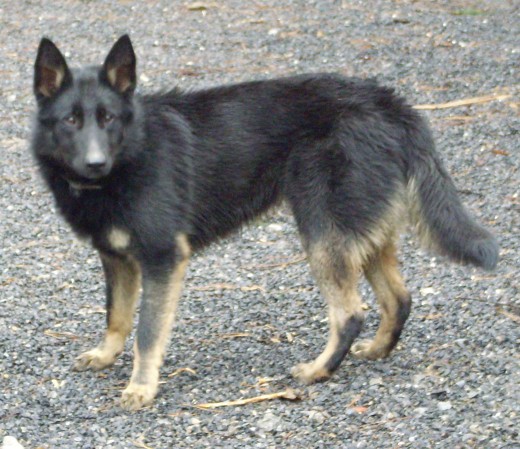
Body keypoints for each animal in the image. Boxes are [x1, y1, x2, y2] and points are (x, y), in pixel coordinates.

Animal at [29, 36, 500, 410]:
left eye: (108, 118)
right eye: (71, 120)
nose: (95, 163)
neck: (132, 151)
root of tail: (392, 105)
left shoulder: (163, 259)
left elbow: (146, 332)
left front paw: (142, 387)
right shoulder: (117, 259)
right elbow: (117, 315)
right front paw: (106, 354)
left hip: (322, 233)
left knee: (349, 313)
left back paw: (318, 370)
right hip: (360, 233)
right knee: (399, 299)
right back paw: (377, 351)